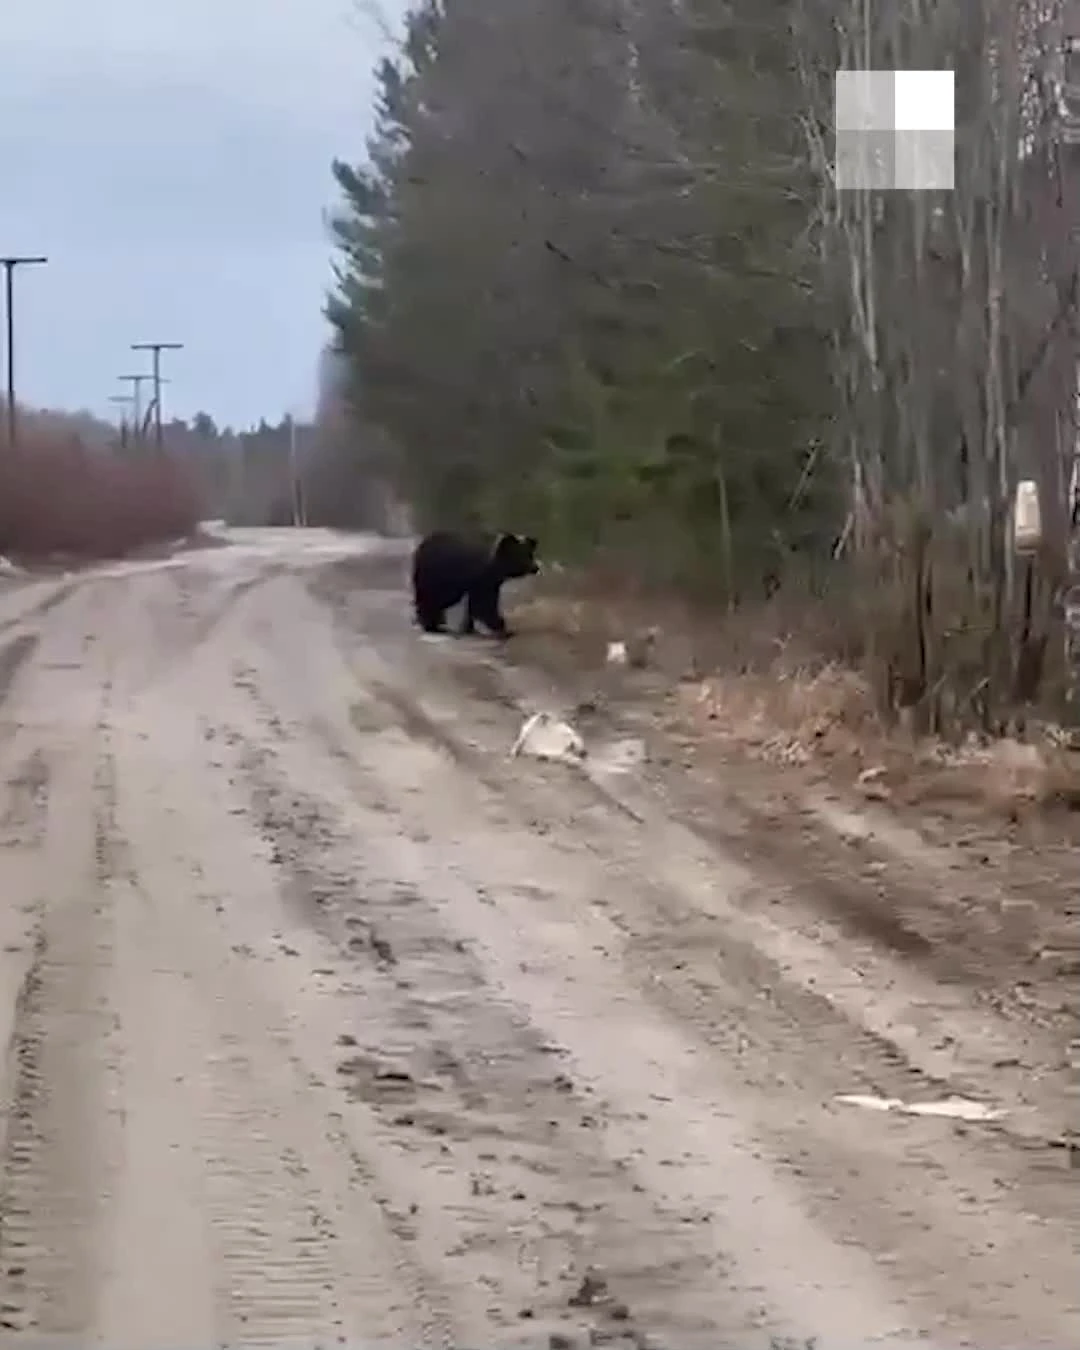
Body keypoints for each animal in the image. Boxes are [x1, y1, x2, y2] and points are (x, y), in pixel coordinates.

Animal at [410, 526, 540, 637]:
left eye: (530, 554)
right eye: (521, 555)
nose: (536, 567)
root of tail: (420, 549)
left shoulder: (490, 581)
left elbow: (476, 604)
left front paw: (470, 628)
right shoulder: (480, 578)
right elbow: (483, 604)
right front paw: (503, 627)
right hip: (437, 575)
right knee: (436, 597)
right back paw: (433, 625)